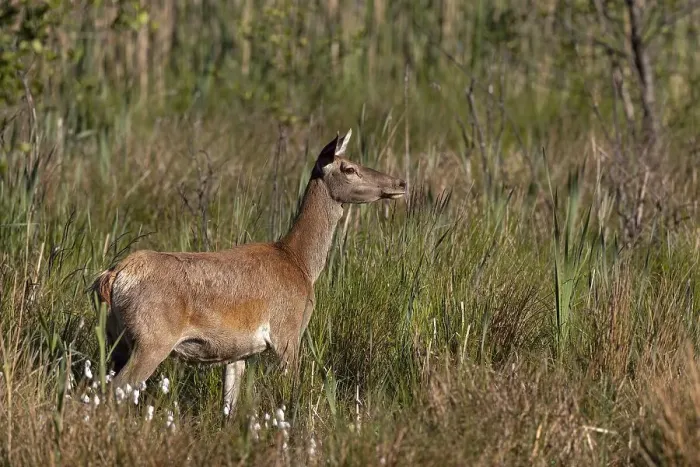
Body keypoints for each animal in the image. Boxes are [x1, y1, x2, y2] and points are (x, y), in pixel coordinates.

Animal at [91, 129, 406, 415]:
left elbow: (229, 407)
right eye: (348, 168)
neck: (300, 263)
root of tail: (112, 277)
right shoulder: (287, 331)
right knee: (116, 388)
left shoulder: (237, 352)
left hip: (115, 338)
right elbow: (292, 393)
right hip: (152, 339)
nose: (400, 182)